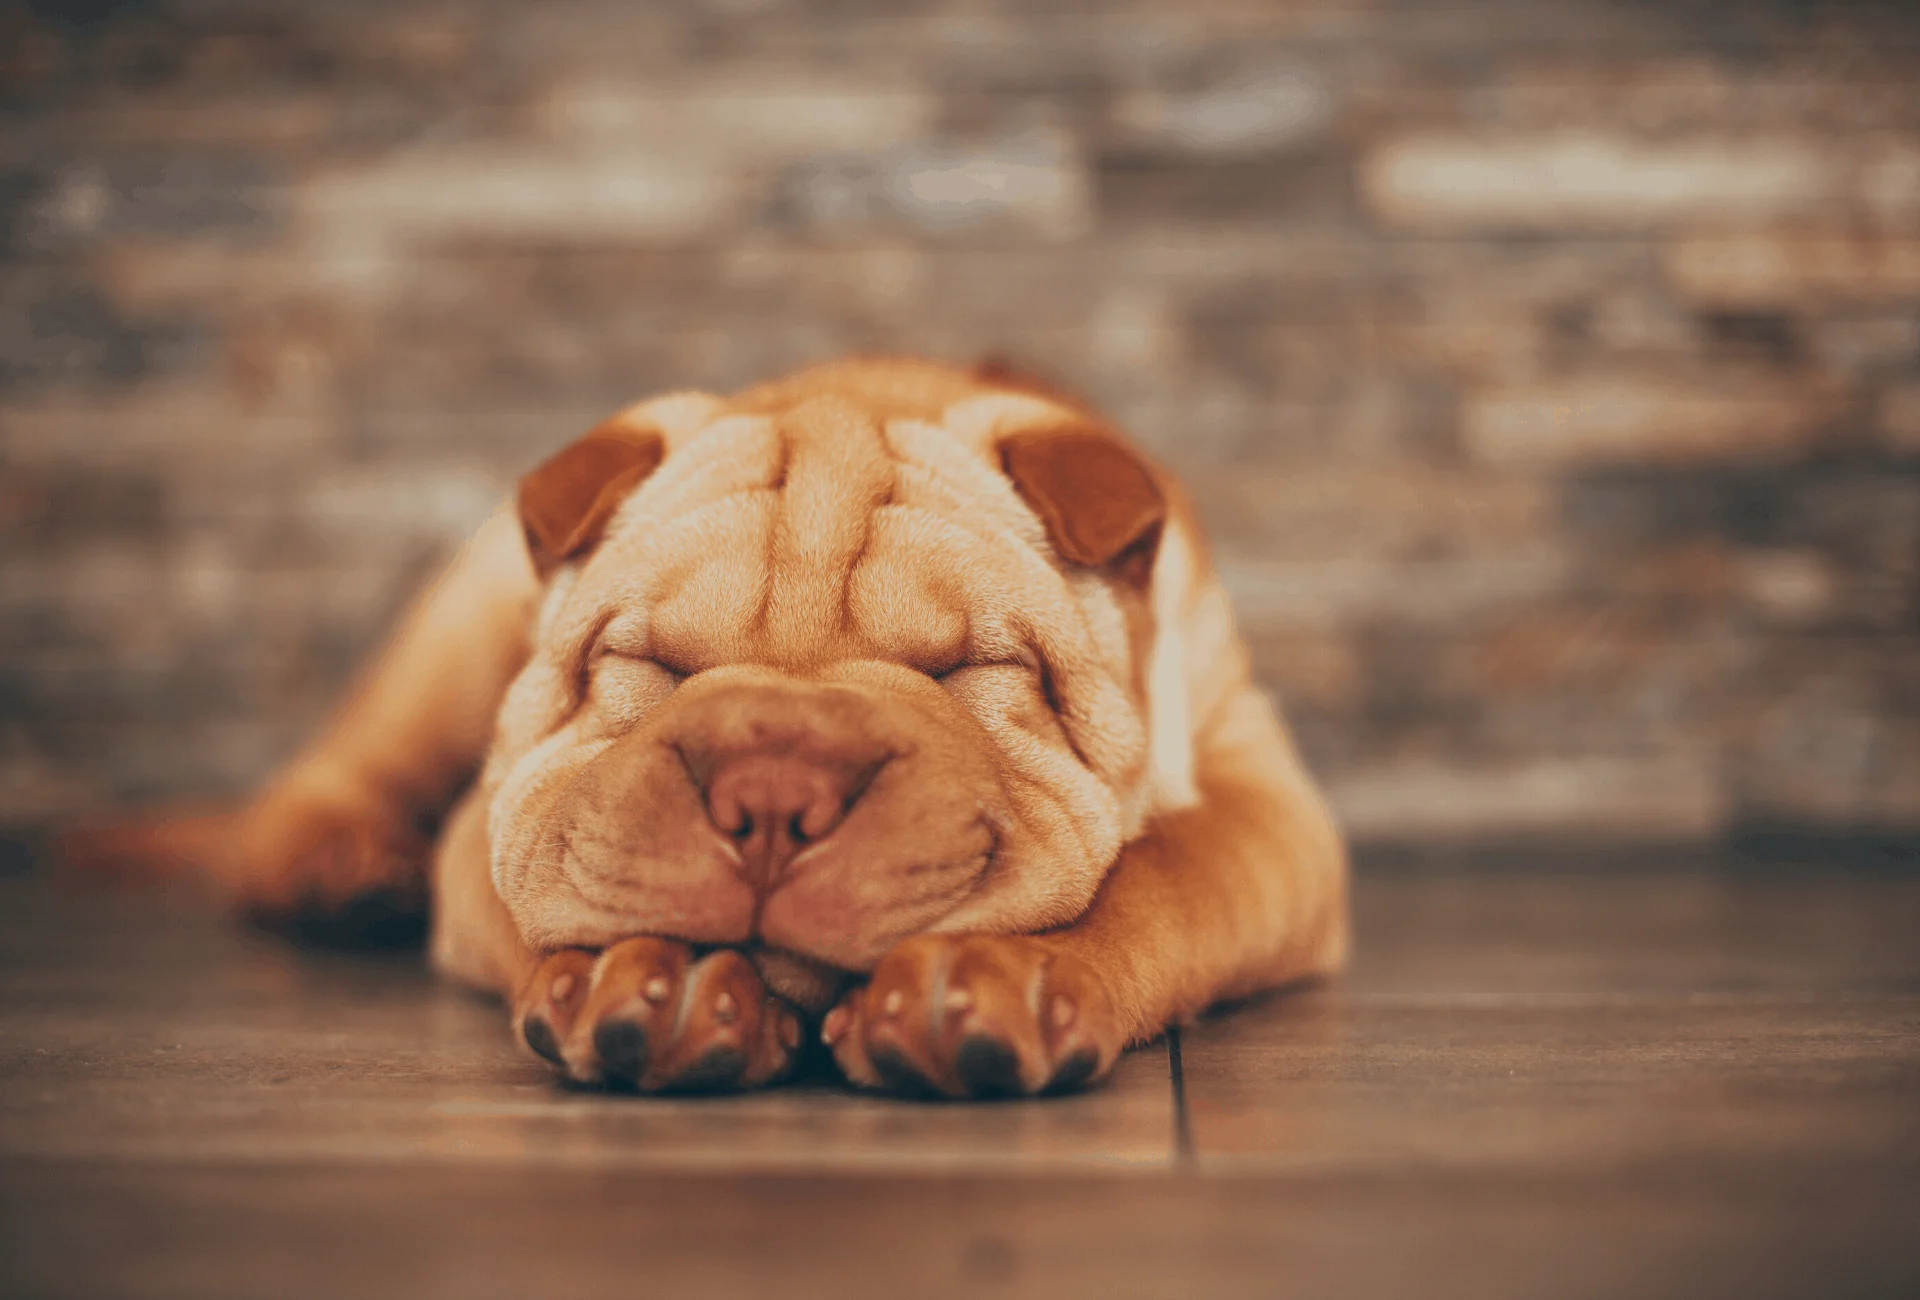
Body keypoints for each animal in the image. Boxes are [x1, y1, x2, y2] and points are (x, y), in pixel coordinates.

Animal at [93, 355, 1351, 1098]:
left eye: (966, 669)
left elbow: (1163, 876)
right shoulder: (496, 821)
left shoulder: (1265, 804)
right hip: (449, 640)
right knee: (302, 795)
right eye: (652, 663)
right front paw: (659, 973)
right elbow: (558, 876)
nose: (773, 795)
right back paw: (348, 870)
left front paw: (998, 977)